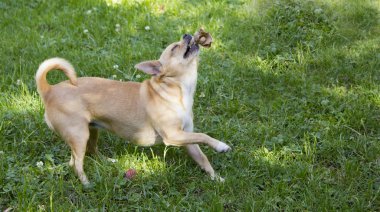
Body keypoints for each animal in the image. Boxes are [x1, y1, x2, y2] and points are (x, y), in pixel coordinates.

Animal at [36, 33, 232, 186]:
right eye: (175, 48)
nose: (187, 34)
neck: (178, 90)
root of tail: (49, 90)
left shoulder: (187, 138)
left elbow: (203, 158)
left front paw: (217, 179)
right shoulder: (173, 136)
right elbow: (203, 136)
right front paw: (221, 145)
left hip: (90, 131)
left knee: (91, 152)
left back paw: (107, 162)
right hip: (78, 135)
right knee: (76, 164)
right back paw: (86, 183)